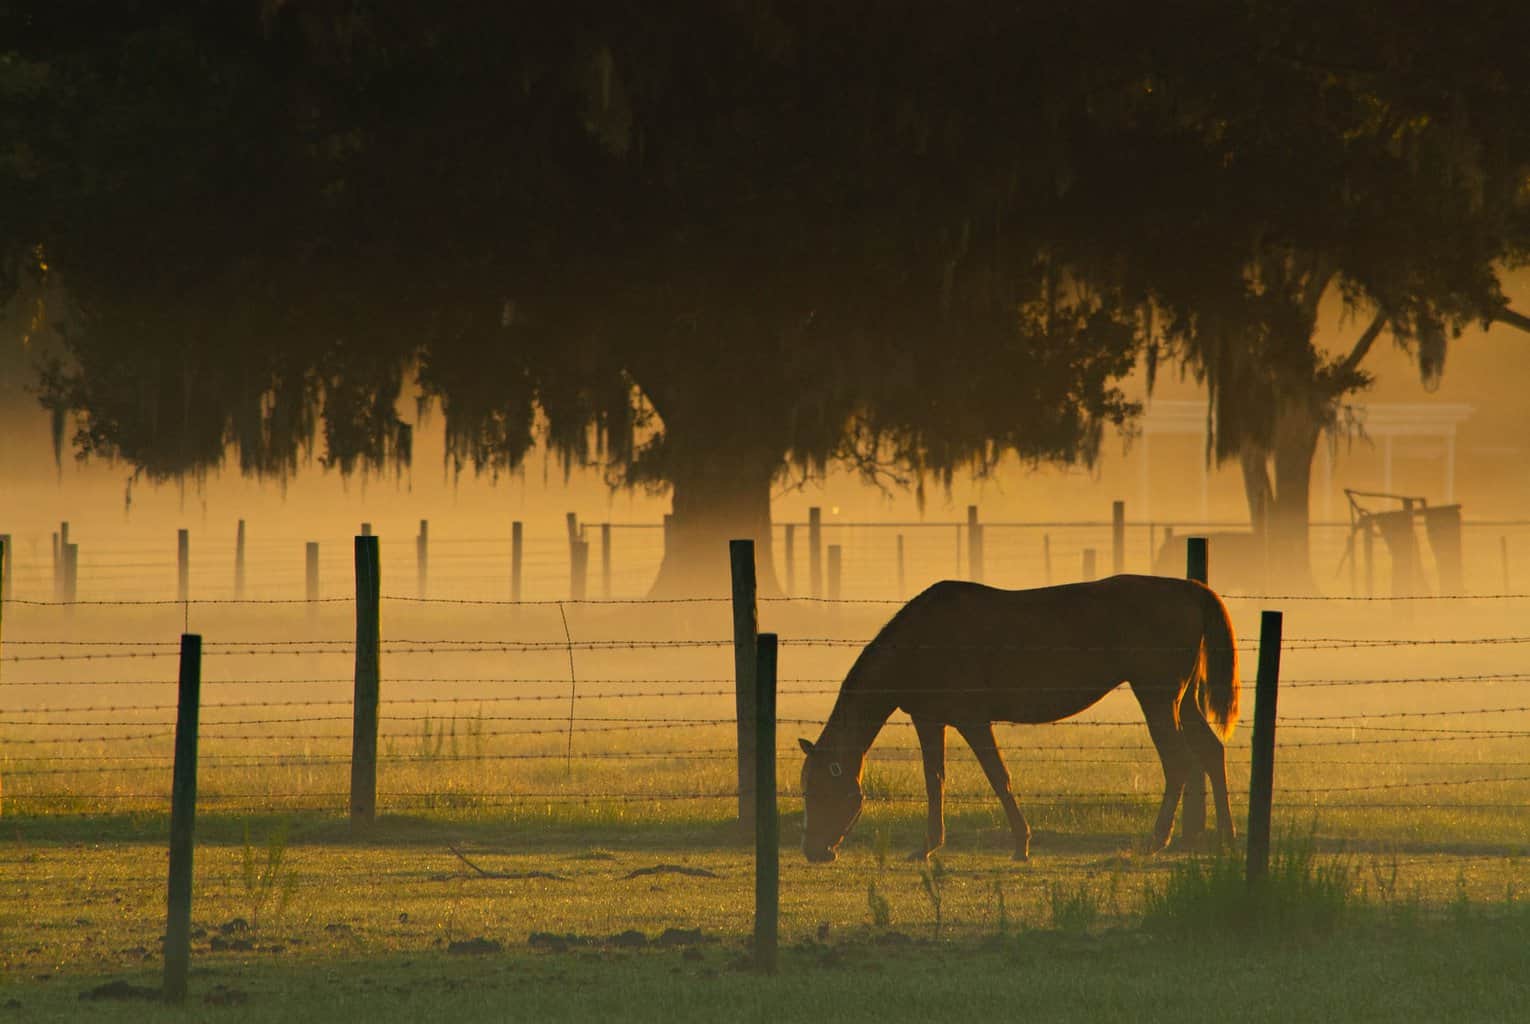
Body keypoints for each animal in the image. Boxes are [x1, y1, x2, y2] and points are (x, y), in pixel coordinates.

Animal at [801, 578, 1242, 857]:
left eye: (821, 791)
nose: (814, 852)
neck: (921, 640)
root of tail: (1191, 589)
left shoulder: (973, 721)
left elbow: (999, 777)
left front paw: (1021, 844)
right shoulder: (930, 720)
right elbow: (934, 780)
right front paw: (929, 845)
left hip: (1157, 698)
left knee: (1179, 761)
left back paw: (1157, 840)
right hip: (1183, 702)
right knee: (1211, 752)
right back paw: (1227, 835)